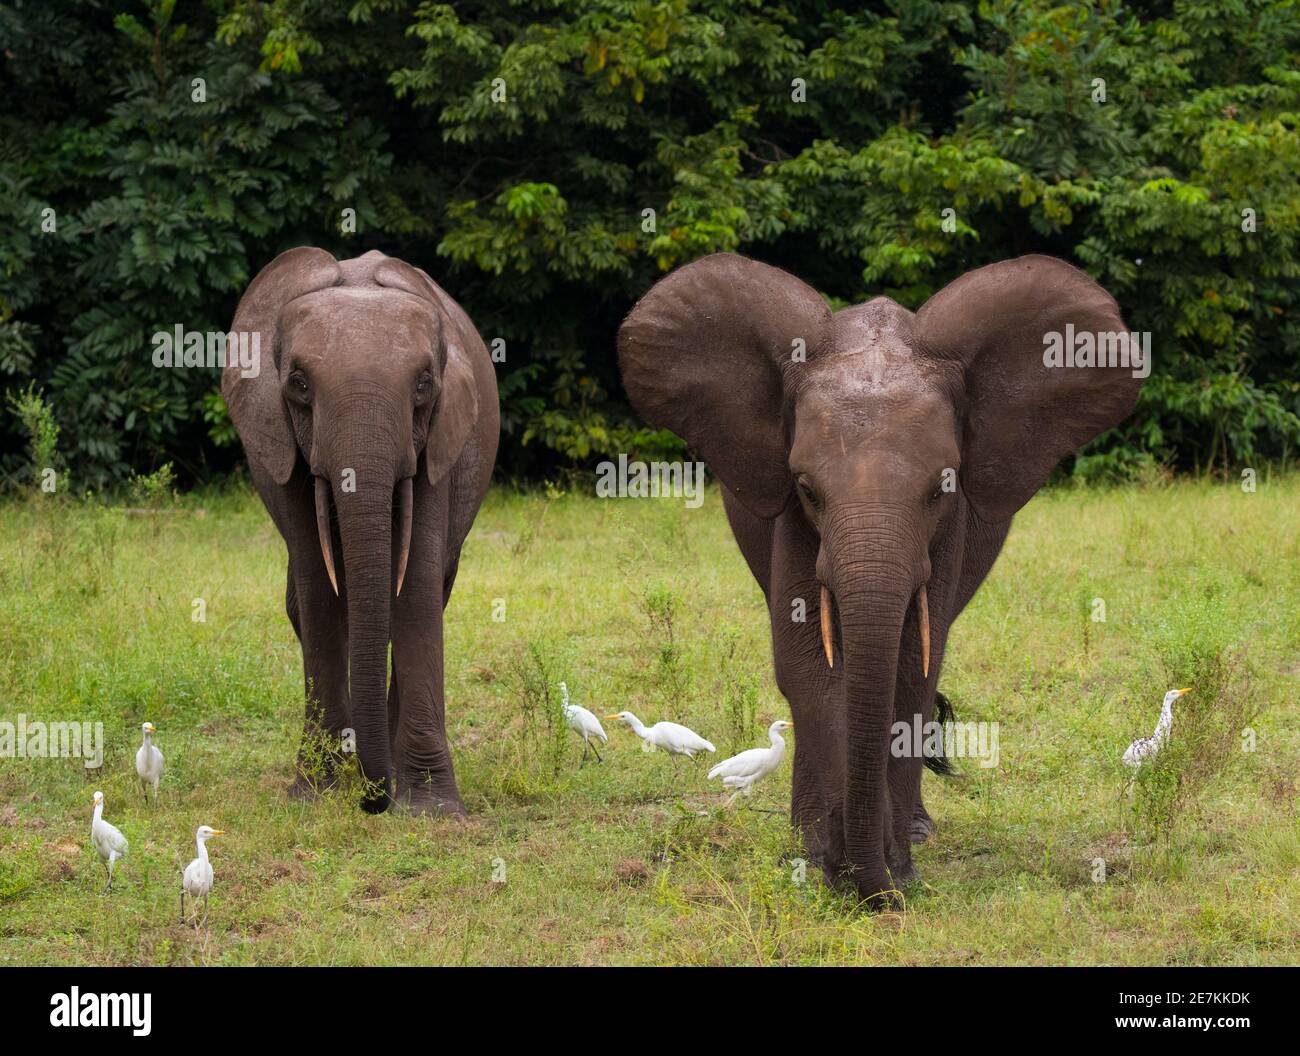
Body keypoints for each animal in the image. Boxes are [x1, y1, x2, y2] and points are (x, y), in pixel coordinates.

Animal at [223, 247, 496, 816]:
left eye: (424, 384)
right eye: (300, 383)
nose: (375, 802)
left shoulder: (438, 443)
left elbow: (415, 589)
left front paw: (432, 809)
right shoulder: (285, 447)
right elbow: (319, 592)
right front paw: (313, 795)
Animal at [618, 250, 1138, 905]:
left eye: (942, 485)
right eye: (807, 488)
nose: (869, 882)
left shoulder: (949, 529)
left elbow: (914, 672)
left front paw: (895, 868)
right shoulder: (790, 516)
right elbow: (809, 667)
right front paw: (823, 860)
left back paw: (914, 832)